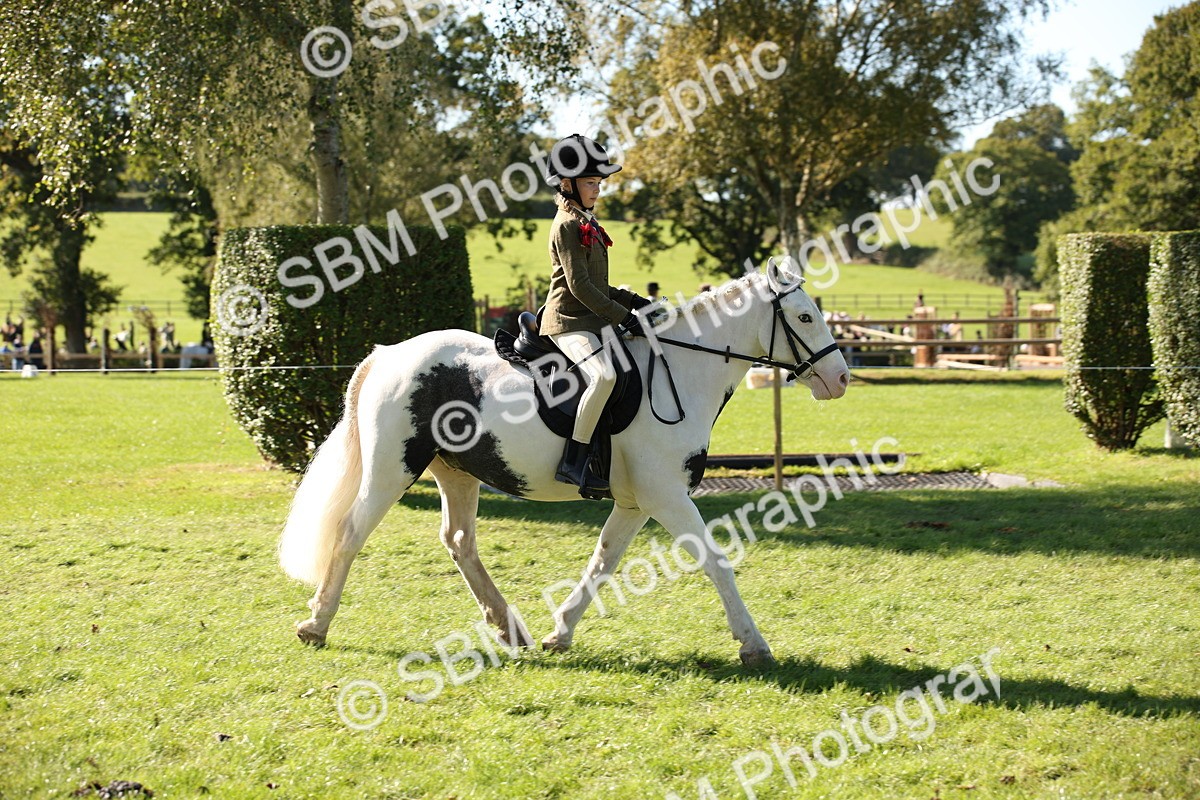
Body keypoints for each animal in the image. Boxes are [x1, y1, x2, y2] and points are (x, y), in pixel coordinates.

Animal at [278, 261, 851, 665]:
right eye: (805, 317)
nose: (840, 379)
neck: (682, 370)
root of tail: (388, 353)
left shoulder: (638, 502)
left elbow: (603, 562)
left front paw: (561, 631)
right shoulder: (668, 496)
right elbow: (716, 561)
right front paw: (753, 644)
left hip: (456, 471)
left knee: (459, 541)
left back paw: (510, 628)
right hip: (392, 468)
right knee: (351, 532)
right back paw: (316, 625)